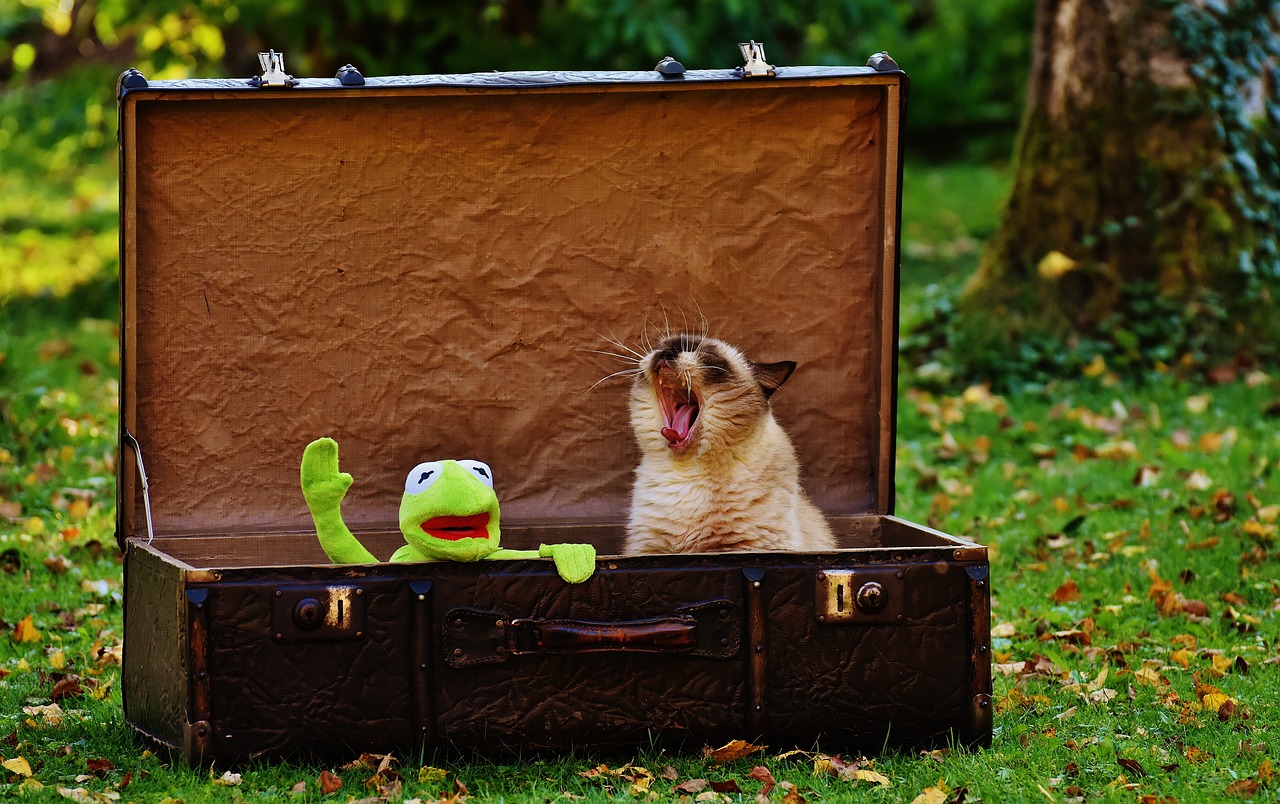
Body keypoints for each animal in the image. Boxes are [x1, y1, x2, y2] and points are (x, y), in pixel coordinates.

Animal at [622, 332, 839, 553]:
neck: (686, 475)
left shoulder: (737, 548)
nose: (666, 352)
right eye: (660, 347)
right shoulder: (649, 550)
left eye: (704, 353)